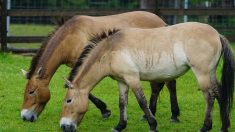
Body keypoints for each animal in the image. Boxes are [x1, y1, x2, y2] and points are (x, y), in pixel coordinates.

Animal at [20, 11, 180, 122]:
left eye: (31, 91)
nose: (25, 117)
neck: (71, 37)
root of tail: (162, 22)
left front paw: (104, 110)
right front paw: (104, 110)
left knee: (169, 85)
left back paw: (173, 115)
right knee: (157, 87)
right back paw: (150, 114)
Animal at [61, 22, 235, 131]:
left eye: (68, 101)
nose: (64, 126)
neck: (111, 50)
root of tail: (217, 34)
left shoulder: (132, 79)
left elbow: (142, 102)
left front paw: (152, 125)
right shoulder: (122, 82)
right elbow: (122, 103)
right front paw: (119, 126)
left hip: (202, 74)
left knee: (210, 97)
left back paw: (205, 127)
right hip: (210, 73)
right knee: (220, 94)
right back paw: (223, 126)